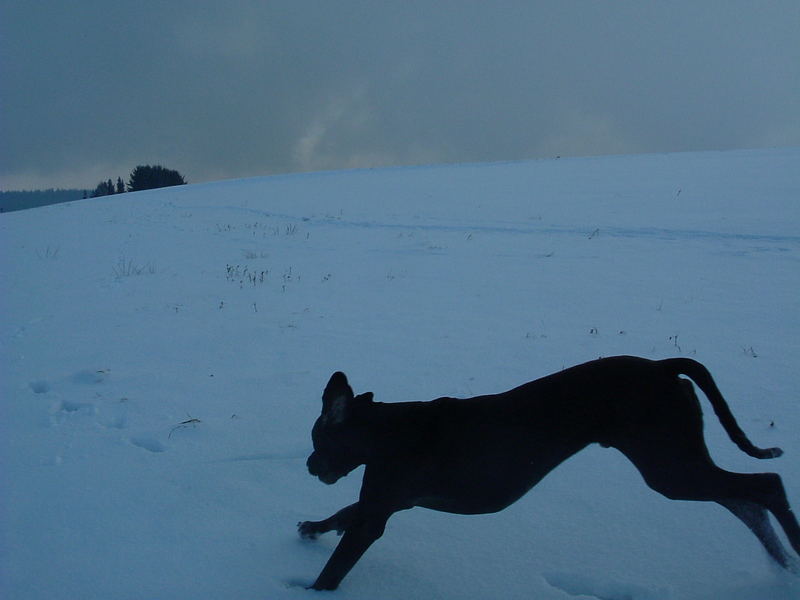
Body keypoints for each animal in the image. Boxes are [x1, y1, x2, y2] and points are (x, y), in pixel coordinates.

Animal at [300, 356, 800, 592]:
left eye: (318, 441)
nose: (308, 465)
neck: (385, 432)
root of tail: (662, 367)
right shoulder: (384, 499)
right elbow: (343, 512)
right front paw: (312, 526)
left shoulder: (377, 511)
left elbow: (338, 562)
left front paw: (313, 590)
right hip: (677, 461)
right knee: (745, 502)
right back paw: (782, 564)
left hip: (668, 467)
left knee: (765, 485)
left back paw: (792, 551)